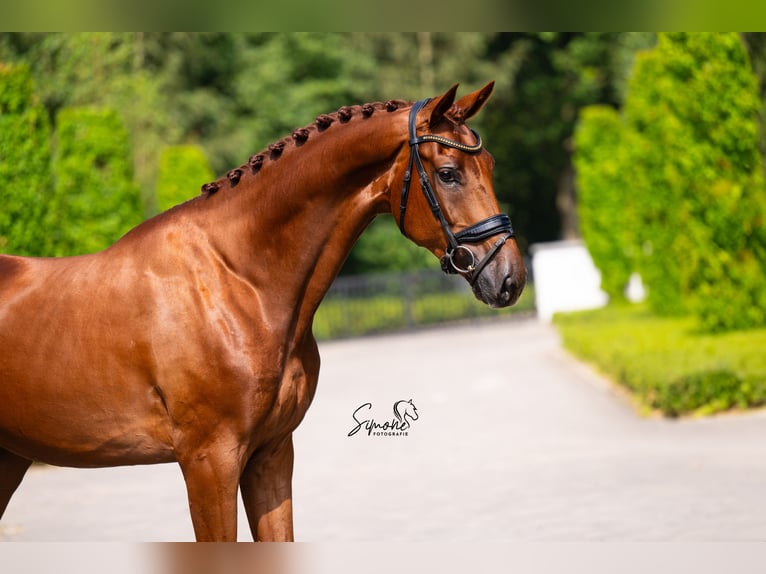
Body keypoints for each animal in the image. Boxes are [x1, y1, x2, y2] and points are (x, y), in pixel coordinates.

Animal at [0, 83, 528, 544]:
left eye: (491, 165)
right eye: (448, 173)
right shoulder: (208, 461)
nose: (509, 278)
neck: (239, 280)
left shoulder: (271, 452)